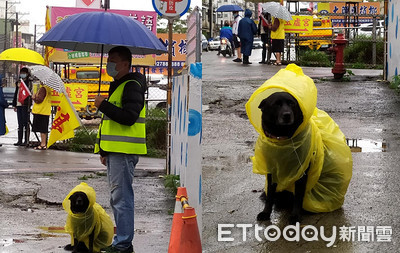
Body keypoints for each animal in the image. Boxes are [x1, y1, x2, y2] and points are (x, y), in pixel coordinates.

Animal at [256, 91, 306, 223]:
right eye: (276, 104)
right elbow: (270, 195)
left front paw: (295, 215)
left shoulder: (302, 171)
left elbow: (298, 196)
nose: (287, 115)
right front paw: (266, 212)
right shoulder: (271, 171)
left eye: (291, 103)